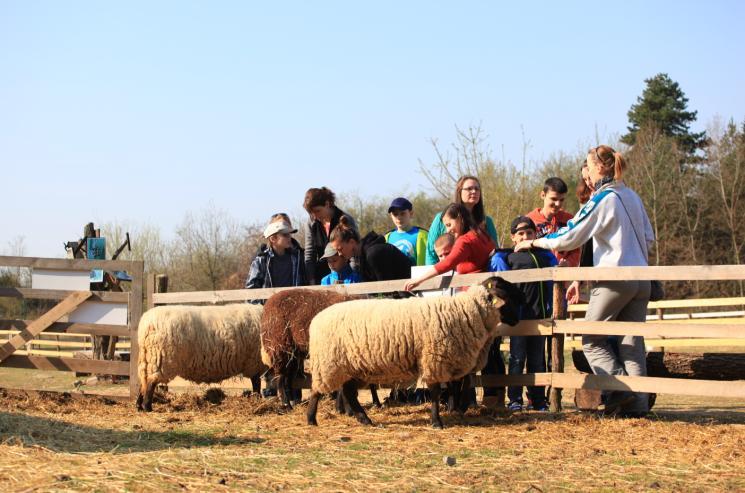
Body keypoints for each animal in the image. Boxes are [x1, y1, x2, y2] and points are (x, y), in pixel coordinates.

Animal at [135, 304, 266, 412]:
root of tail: (146, 324)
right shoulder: (255, 362)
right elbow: (256, 383)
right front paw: (257, 399)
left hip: (148, 359)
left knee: (144, 382)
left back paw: (139, 405)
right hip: (161, 358)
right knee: (151, 382)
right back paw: (147, 407)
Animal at [304, 276, 524, 426]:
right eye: (505, 295)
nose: (517, 320)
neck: (466, 311)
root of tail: (317, 319)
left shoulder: (445, 359)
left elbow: (454, 386)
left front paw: (452, 411)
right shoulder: (435, 357)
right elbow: (435, 391)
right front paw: (437, 422)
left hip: (354, 366)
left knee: (348, 392)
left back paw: (364, 419)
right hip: (328, 362)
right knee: (317, 389)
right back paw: (311, 419)